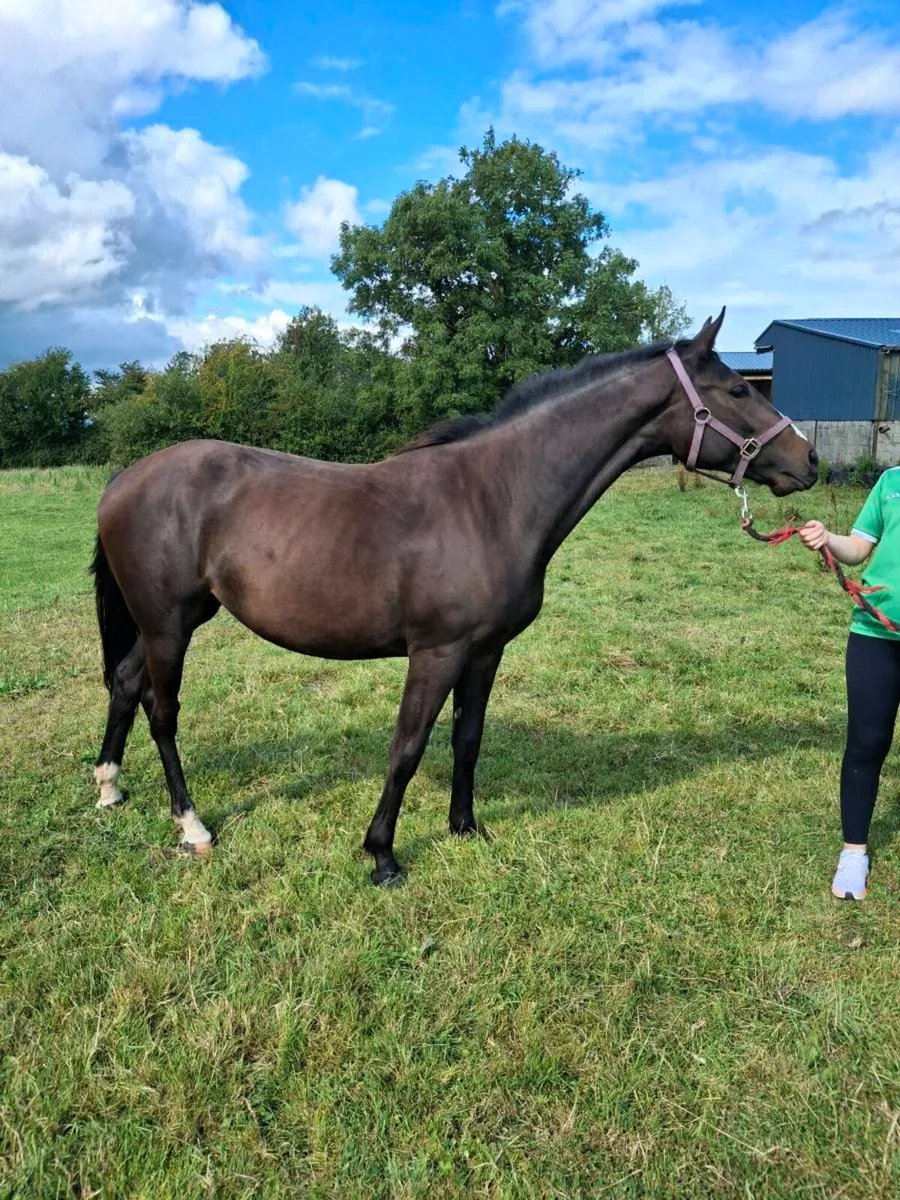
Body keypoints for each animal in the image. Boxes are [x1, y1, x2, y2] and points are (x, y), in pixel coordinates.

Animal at [90, 309, 818, 884]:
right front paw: (382, 855)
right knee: (162, 711)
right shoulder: (436, 652)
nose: (808, 461)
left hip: (170, 622)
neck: (492, 499)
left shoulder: (484, 652)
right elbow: (408, 747)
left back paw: (108, 787)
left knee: (125, 683)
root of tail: (126, 477)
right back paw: (193, 827)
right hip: (169, 625)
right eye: (735, 389)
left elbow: (467, 739)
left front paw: (466, 828)